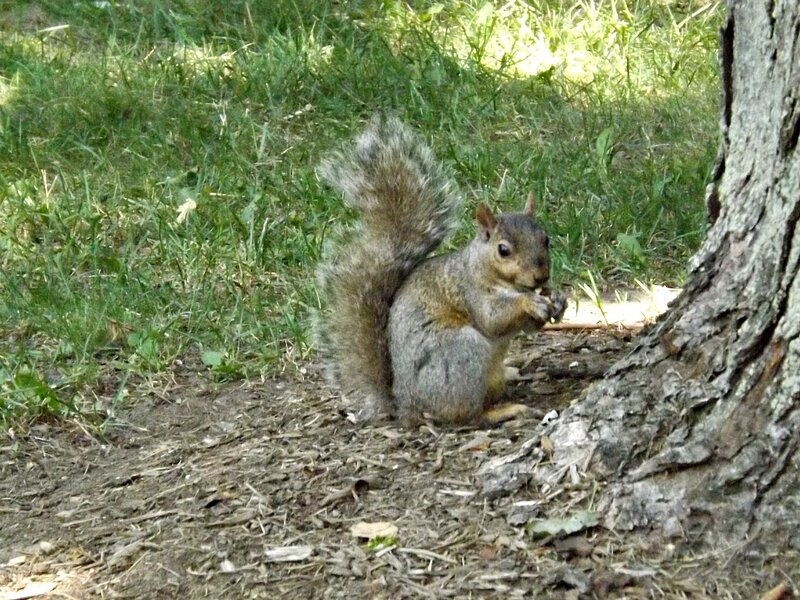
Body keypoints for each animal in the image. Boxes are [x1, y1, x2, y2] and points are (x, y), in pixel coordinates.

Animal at [315, 115, 566, 426]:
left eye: (546, 239)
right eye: (503, 250)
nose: (541, 277)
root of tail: (405, 404)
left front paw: (558, 300)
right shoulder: (469, 290)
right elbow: (492, 319)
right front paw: (529, 302)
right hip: (460, 353)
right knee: (465, 415)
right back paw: (505, 410)